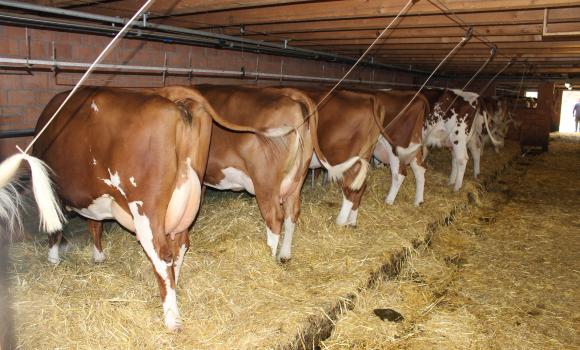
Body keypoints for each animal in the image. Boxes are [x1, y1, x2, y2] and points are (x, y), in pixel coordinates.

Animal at [32, 85, 286, 330]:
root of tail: (168, 95)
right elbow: (95, 225)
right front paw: (98, 257)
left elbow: (55, 230)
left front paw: (53, 261)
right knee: (180, 246)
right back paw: (176, 284)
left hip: (147, 209)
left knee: (162, 255)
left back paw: (172, 319)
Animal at [195, 83, 314, 262]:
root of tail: (291, 96)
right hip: (296, 180)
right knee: (291, 213)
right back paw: (284, 255)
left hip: (265, 182)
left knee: (274, 217)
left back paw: (269, 258)